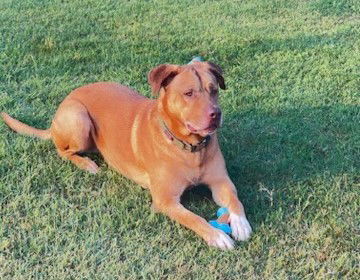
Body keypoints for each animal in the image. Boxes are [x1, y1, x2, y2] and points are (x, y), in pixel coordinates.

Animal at [1, 61, 252, 249]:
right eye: (188, 93)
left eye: (214, 90)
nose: (215, 114)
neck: (188, 148)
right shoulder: (165, 201)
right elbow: (194, 218)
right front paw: (217, 235)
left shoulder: (220, 181)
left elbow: (234, 197)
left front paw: (240, 222)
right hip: (78, 119)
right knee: (62, 150)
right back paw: (86, 163)